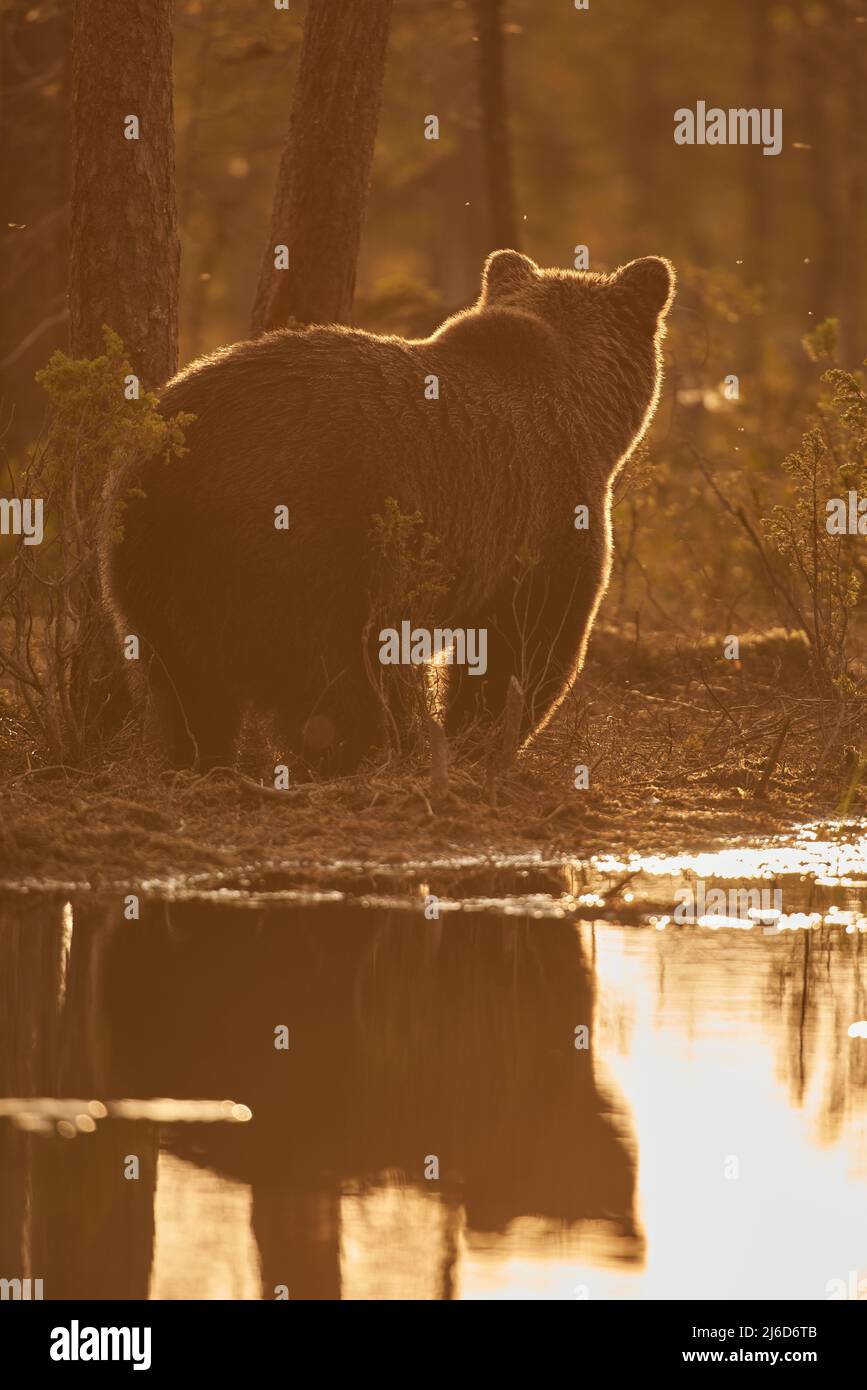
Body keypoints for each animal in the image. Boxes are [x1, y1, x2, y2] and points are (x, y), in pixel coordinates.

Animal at [104, 249, 675, 772]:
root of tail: (173, 463)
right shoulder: (544, 517)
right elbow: (527, 643)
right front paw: (478, 742)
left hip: (151, 559)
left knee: (184, 685)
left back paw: (200, 759)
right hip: (309, 548)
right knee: (336, 680)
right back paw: (374, 755)